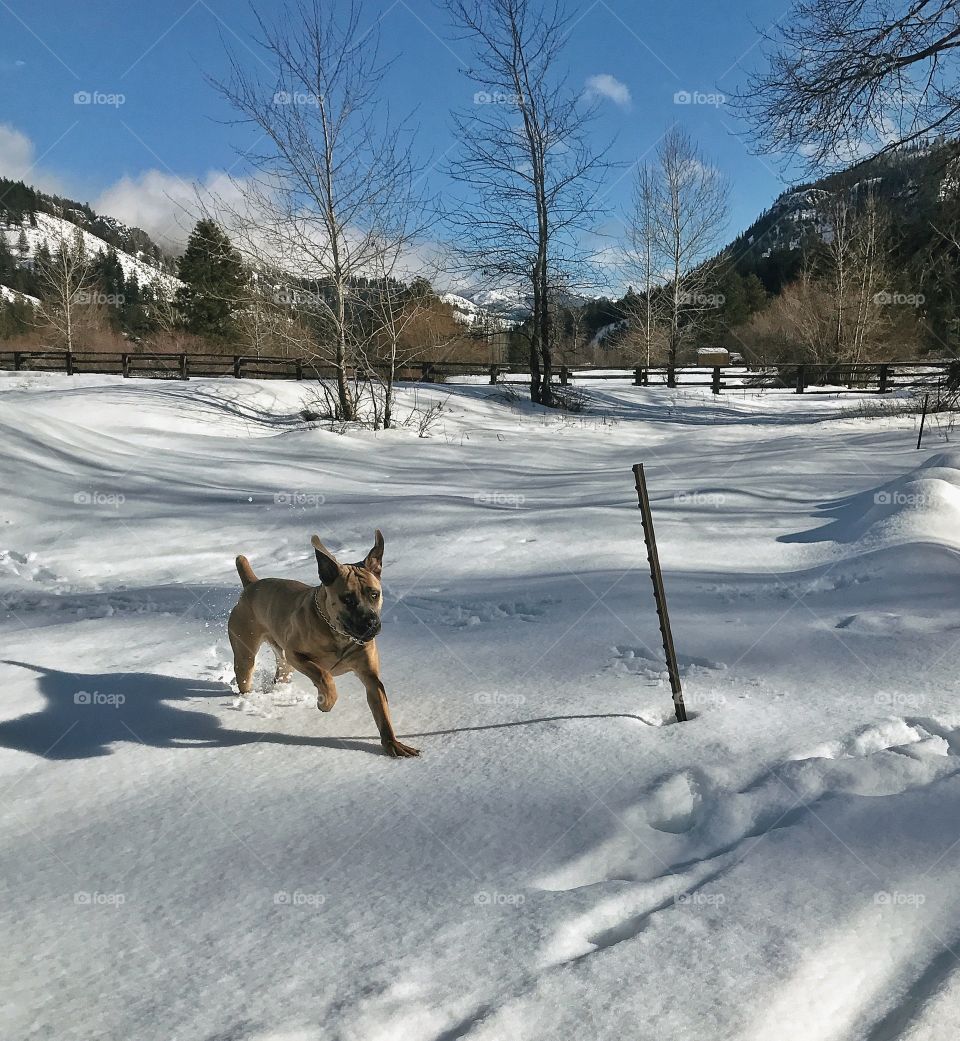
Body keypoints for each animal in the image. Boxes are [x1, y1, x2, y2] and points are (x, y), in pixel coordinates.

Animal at [228, 537, 418, 757]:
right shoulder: (296, 654)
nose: (372, 623)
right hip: (246, 654)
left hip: (283, 662)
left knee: (281, 673)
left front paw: (392, 744)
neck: (339, 635)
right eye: (348, 599)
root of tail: (251, 585)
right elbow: (323, 675)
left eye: (374, 594)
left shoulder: (370, 677)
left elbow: (382, 711)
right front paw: (325, 702)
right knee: (245, 674)